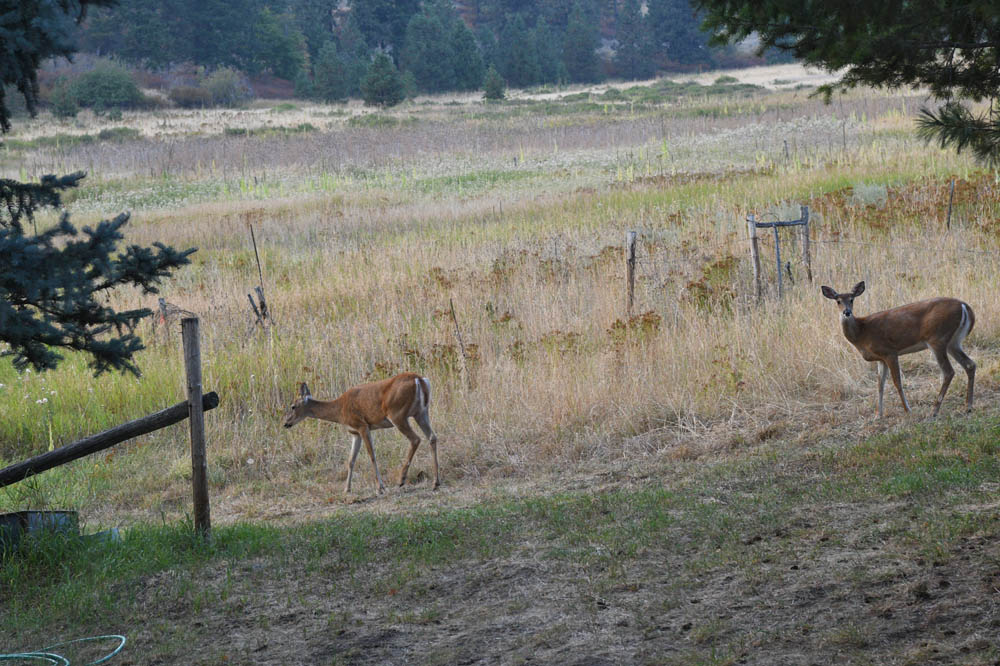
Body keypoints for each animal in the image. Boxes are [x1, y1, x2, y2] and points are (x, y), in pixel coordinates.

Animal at [282, 372, 439, 495]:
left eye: (293, 406)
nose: (285, 423)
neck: (339, 410)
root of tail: (419, 379)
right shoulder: (354, 432)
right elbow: (351, 460)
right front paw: (347, 489)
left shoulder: (362, 425)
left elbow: (372, 456)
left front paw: (380, 487)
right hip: (421, 412)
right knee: (432, 437)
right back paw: (436, 483)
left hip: (397, 414)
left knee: (415, 439)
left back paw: (401, 480)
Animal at [820, 281, 975, 418]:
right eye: (838, 301)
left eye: (852, 299)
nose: (847, 312)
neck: (862, 332)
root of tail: (964, 306)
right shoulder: (880, 359)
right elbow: (880, 385)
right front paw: (878, 415)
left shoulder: (890, 352)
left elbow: (897, 382)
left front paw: (908, 410)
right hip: (953, 342)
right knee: (970, 364)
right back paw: (967, 407)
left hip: (937, 339)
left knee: (949, 371)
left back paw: (934, 411)